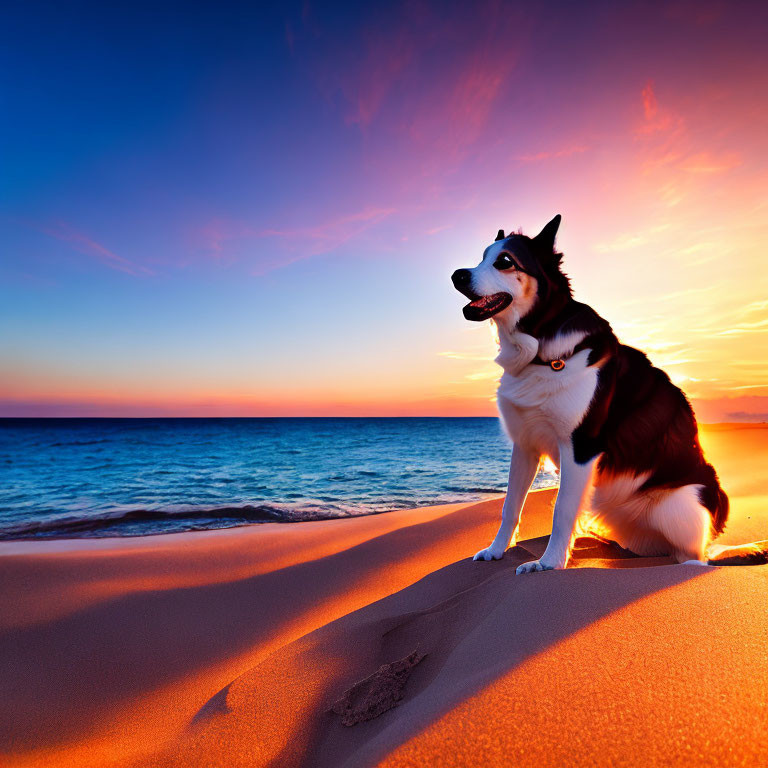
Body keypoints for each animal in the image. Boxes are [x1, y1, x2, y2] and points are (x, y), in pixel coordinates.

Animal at [452, 213, 728, 572]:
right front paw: (496, 550)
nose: (456, 275)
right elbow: (510, 505)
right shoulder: (524, 444)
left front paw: (549, 564)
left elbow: (562, 509)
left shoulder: (581, 447)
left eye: (505, 262)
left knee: (695, 557)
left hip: (681, 507)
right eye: (481, 258)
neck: (538, 346)